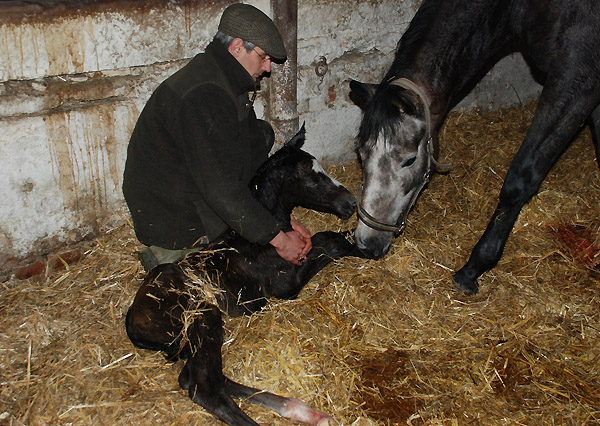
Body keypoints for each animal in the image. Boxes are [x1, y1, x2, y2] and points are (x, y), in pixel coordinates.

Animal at [125, 126, 360, 426]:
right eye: (312, 177)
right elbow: (329, 242)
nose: (351, 202)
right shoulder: (287, 286)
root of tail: (133, 316)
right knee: (204, 387)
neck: (261, 241)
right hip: (203, 317)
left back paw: (305, 411)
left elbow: (323, 239)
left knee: (198, 378)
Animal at [350, 0, 596, 294]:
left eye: (409, 159)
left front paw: (473, 268)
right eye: (361, 154)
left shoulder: (576, 78)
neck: (515, 8)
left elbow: (521, 178)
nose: (366, 243)